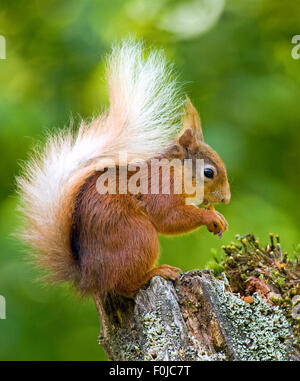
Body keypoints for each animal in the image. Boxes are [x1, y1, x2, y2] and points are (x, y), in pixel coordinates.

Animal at [17, 40, 231, 296]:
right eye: (208, 173)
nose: (226, 199)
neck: (175, 171)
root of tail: (89, 279)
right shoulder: (159, 186)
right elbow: (168, 218)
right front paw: (211, 216)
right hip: (137, 235)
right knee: (124, 284)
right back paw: (157, 272)